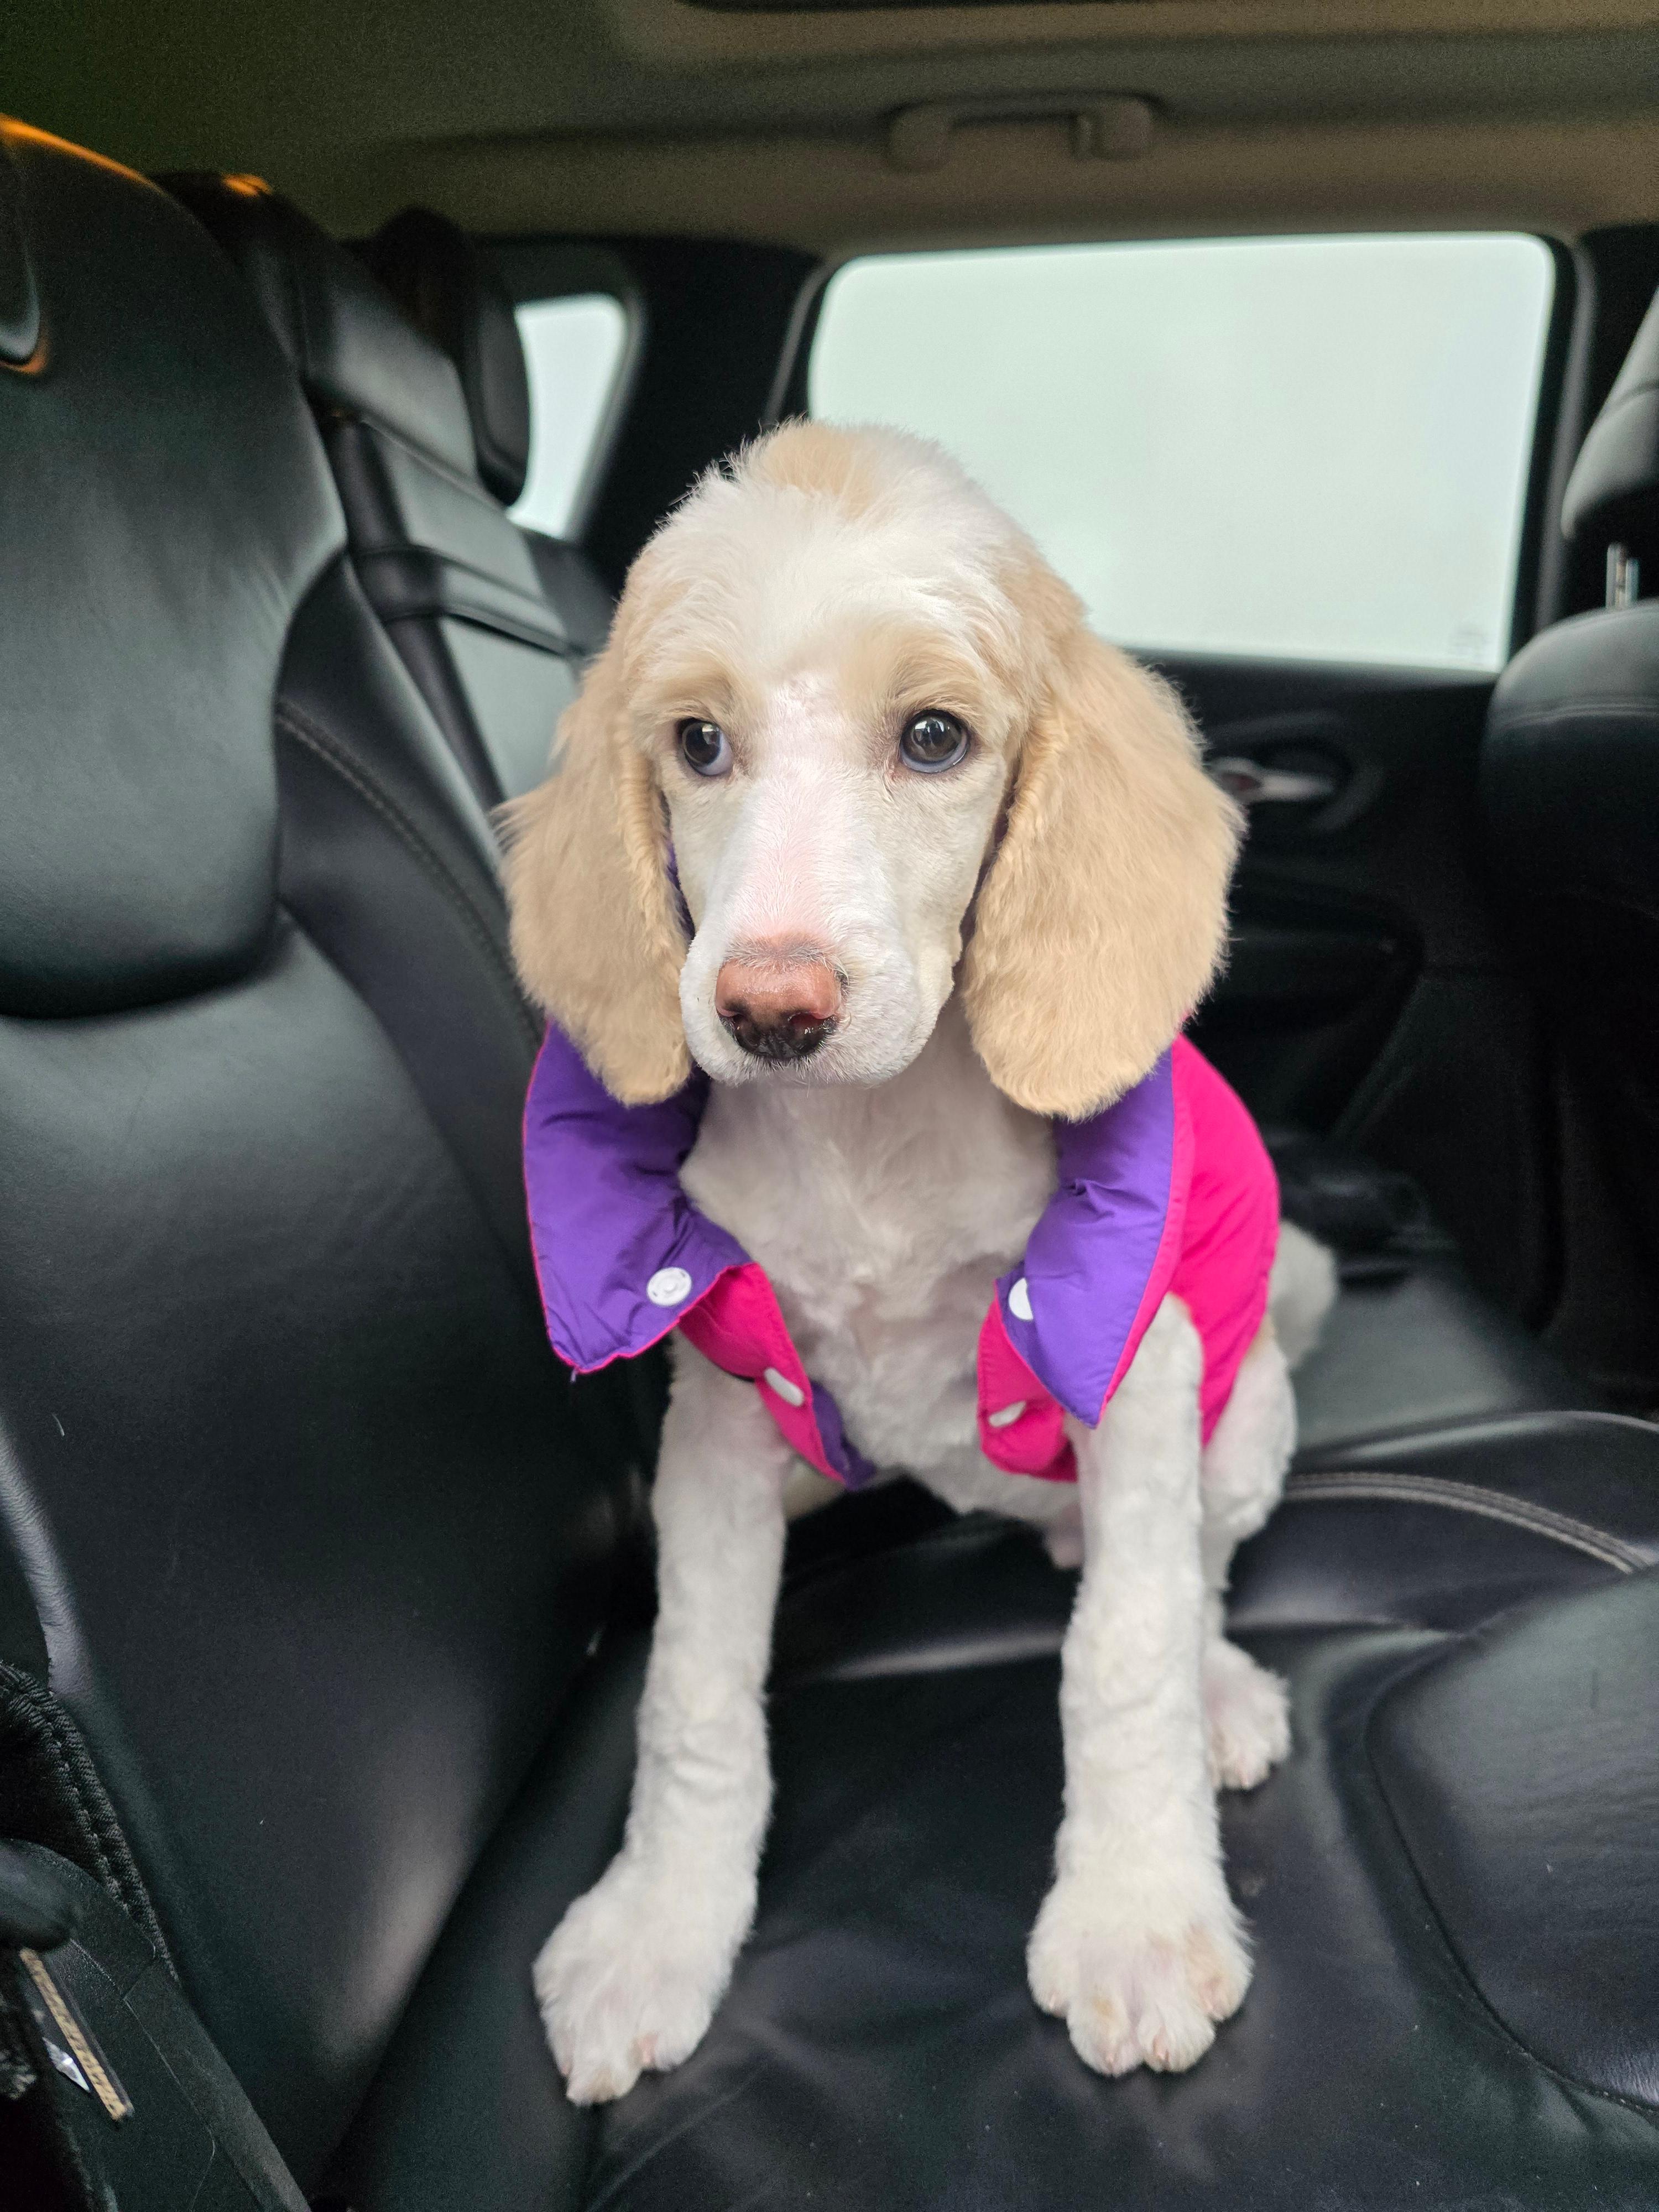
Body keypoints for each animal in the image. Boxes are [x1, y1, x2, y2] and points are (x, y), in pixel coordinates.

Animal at [504, 418, 1336, 2106]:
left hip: (1242, 1425)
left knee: (1195, 1574)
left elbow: (1125, 1653)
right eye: (697, 743)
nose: (768, 1010)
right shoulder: (723, 1406)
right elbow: (693, 1688)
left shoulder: (1130, 1363)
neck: (867, 1141)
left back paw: (1223, 1687)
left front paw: (1135, 1918)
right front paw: (658, 1929)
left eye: (935, 738)